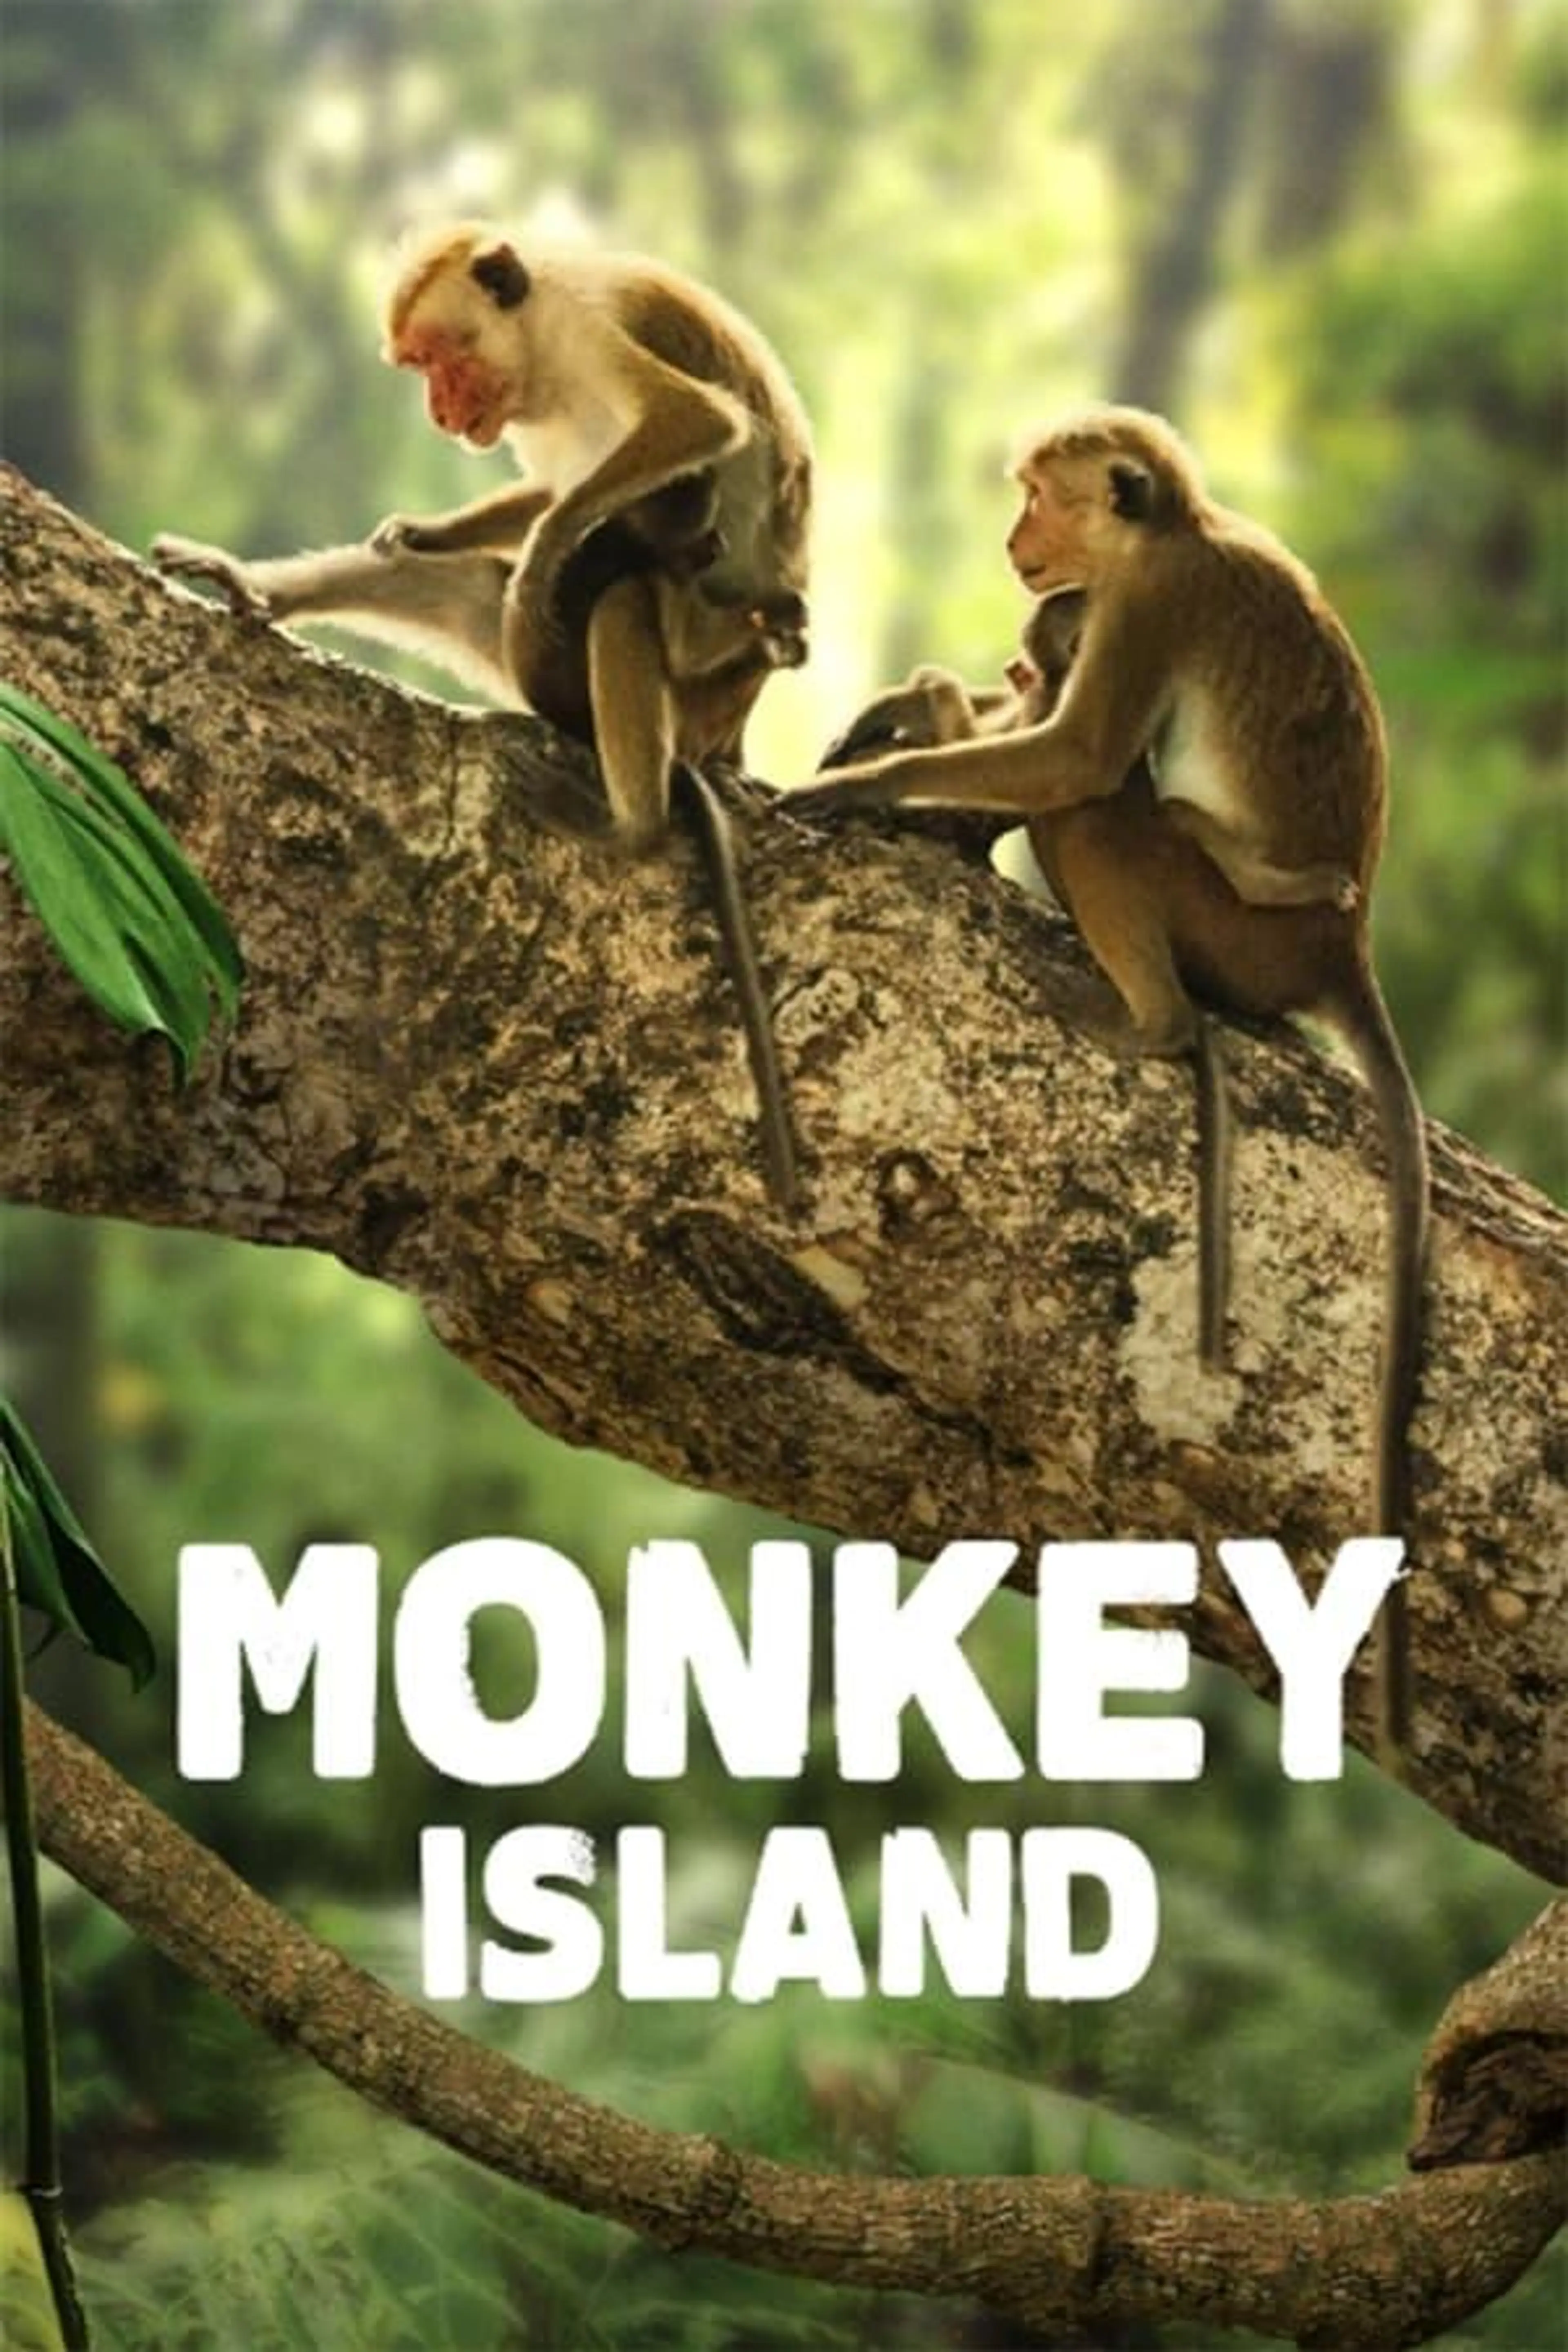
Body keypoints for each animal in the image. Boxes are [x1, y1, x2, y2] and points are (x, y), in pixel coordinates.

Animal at [155, 220, 814, 1208]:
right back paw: (260, 588)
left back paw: (631, 826)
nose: (437, 411)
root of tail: (725, 736)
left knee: (621, 600)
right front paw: (432, 529)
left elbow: (693, 424)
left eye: (440, 358)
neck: (540, 341)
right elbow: (530, 500)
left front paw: (549, 544)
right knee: (464, 590)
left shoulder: (591, 330)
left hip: (691, 693)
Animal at [803, 410, 1428, 1760]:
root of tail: (1337, 951)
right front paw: (915, 707)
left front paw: (858, 786)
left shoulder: (1144, 607)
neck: (1177, 534)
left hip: (1233, 922)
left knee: (1098, 806)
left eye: (1039, 497)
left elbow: (1077, 757)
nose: (1012, 541)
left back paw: (1152, 1021)